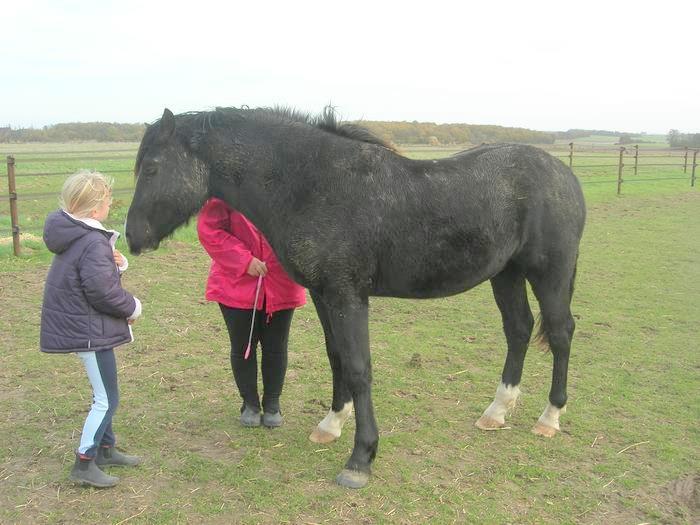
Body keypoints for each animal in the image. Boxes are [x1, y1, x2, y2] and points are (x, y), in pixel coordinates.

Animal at [124, 106, 584, 488]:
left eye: (152, 168)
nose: (132, 237)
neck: (312, 184)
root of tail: (564, 175)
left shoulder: (348, 296)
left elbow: (360, 368)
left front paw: (360, 459)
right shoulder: (323, 294)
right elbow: (337, 358)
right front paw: (331, 424)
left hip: (549, 273)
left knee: (561, 333)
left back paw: (550, 417)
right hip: (506, 274)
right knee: (519, 330)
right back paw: (496, 411)